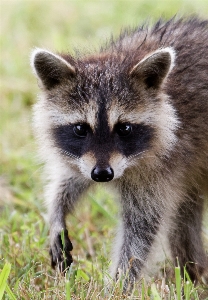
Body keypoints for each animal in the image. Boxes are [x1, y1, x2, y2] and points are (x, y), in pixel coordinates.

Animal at [30, 17, 208, 284]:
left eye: (124, 128)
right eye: (80, 128)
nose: (103, 175)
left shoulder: (163, 168)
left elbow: (141, 231)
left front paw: (119, 284)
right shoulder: (85, 159)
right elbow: (71, 178)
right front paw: (56, 211)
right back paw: (192, 272)